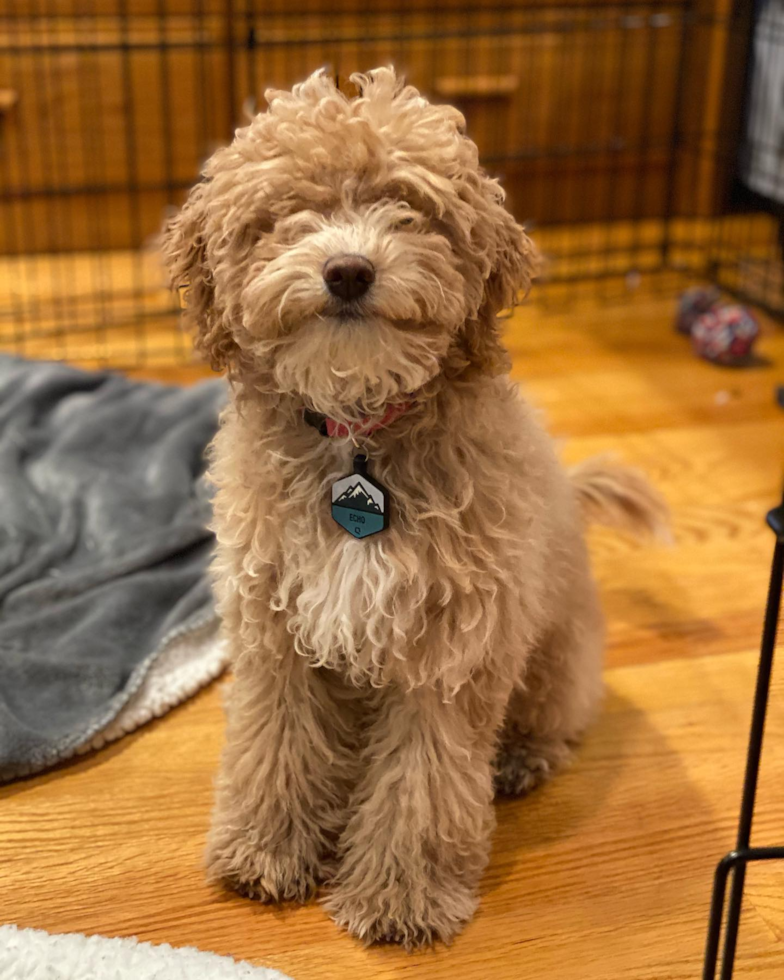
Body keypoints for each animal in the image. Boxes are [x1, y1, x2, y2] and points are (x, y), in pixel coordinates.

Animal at [162, 69, 664, 948]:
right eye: (289, 211)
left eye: (409, 206)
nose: (348, 271)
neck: (359, 433)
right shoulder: (275, 631)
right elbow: (275, 743)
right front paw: (264, 850)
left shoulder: (452, 648)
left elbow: (421, 784)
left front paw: (400, 898)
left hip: (555, 659)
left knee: (553, 717)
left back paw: (520, 759)